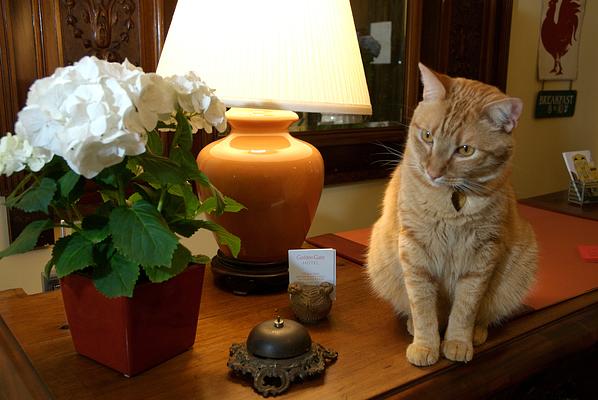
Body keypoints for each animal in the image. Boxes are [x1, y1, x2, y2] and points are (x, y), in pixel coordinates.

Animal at [368, 64, 540, 368]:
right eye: (427, 136)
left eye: (465, 150)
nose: (432, 172)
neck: (452, 203)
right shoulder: (415, 253)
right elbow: (423, 308)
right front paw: (426, 345)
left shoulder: (481, 258)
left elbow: (465, 309)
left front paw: (458, 342)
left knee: (484, 314)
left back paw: (477, 333)